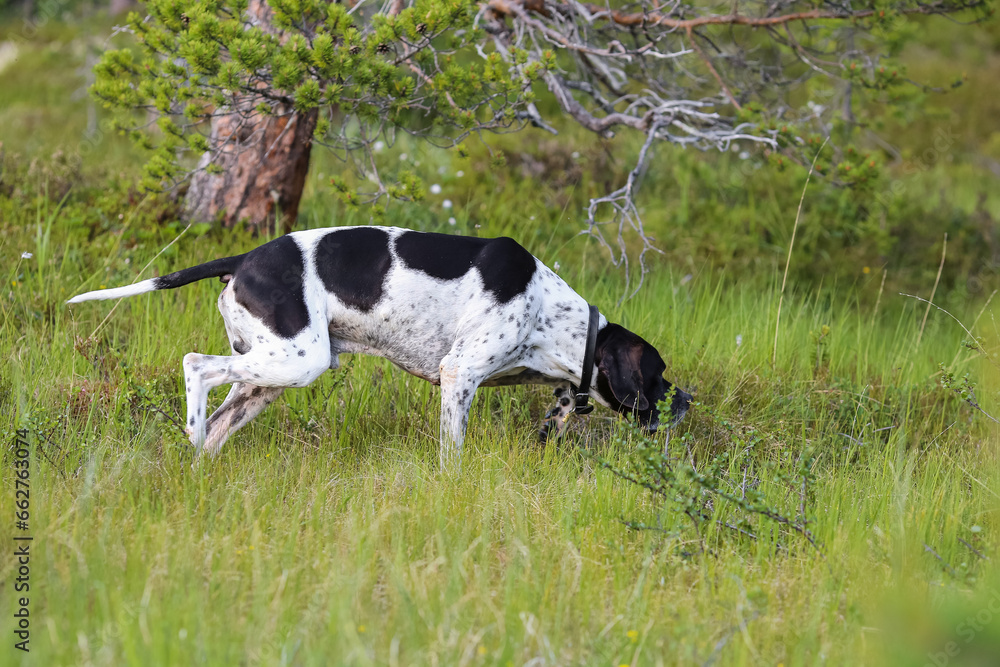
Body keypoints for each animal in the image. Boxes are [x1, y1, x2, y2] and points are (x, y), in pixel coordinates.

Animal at [68, 227, 688, 468]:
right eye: (659, 375)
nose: (685, 402)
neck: (549, 310)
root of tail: (243, 258)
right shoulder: (459, 375)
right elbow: (452, 454)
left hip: (264, 377)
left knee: (218, 422)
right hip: (295, 360)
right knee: (195, 367)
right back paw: (191, 429)